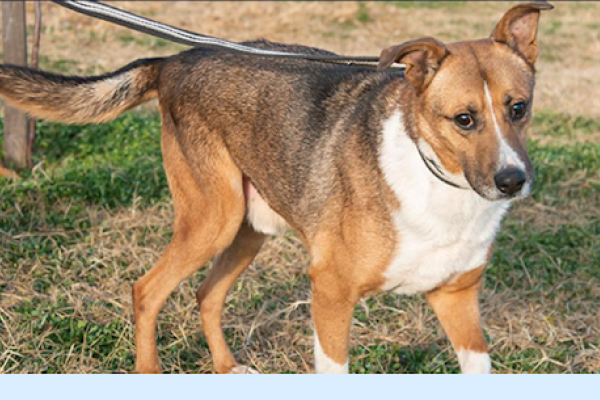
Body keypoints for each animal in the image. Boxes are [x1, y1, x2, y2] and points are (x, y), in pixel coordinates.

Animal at [0, 1, 552, 374]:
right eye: (464, 119)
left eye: (518, 107)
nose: (512, 181)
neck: (437, 180)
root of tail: (178, 59)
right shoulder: (331, 295)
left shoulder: (458, 301)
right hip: (213, 219)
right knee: (146, 290)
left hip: (248, 229)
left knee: (206, 293)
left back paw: (226, 367)